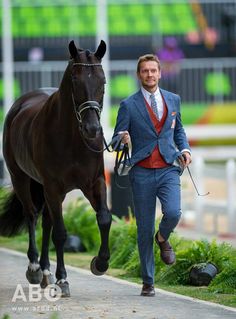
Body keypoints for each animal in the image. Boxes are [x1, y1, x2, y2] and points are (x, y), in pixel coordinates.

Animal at [0, 40, 112, 298]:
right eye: (75, 80)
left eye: (102, 81)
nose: (92, 129)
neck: (73, 138)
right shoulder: (53, 187)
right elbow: (60, 233)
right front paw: (63, 279)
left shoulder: (95, 183)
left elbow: (104, 218)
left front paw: (100, 263)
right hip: (21, 178)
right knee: (32, 215)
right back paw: (35, 268)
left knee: (47, 221)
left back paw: (45, 271)